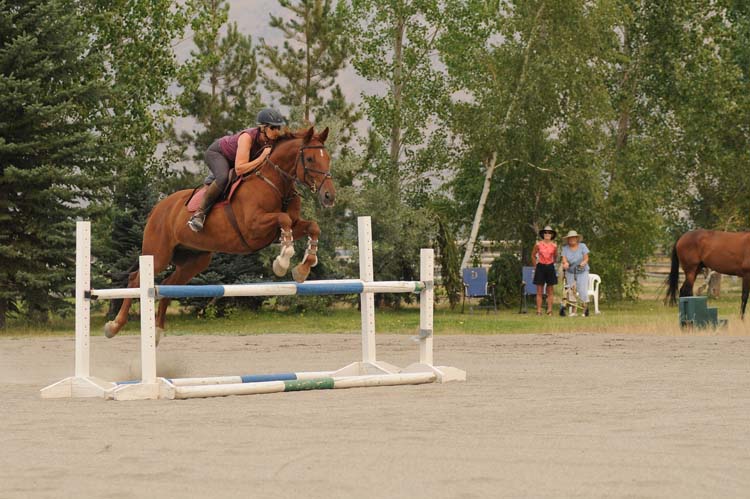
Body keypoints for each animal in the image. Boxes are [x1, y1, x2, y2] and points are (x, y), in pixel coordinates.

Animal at [104, 127, 336, 342]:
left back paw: (158, 332)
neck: (275, 183)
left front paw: (303, 268)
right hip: (159, 254)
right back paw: (114, 326)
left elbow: (312, 226)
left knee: (168, 285)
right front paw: (283, 261)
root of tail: (158, 208)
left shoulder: (286, 228)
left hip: (195, 260)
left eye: (328, 158)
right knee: (135, 279)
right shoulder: (254, 228)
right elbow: (283, 219)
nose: (329, 196)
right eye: (309, 158)